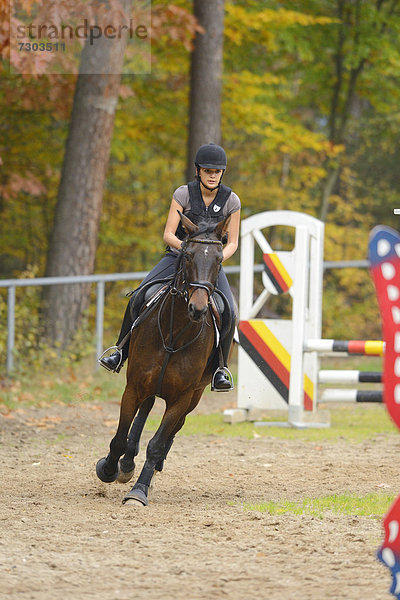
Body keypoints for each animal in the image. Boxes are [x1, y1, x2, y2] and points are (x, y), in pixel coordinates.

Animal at [95, 213, 231, 504]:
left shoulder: (182, 398)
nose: (198, 309)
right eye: (188, 255)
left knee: (172, 431)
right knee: (144, 412)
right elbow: (120, 436)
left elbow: (158, 444)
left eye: (219, 259)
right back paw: (126, 465)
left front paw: (139, 491)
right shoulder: (134, 386)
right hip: (149, 386)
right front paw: (109, 469)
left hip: (194, 395)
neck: (173, 335)